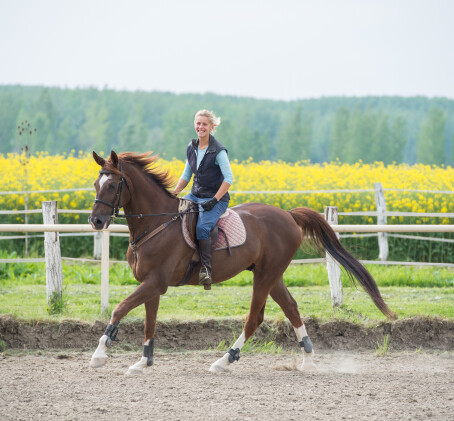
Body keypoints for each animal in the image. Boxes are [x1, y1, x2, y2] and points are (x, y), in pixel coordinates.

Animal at [88, 151, 394, 374]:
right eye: (95, 184)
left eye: (112, 185)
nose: (96, 221)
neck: (157, 222)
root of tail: (288, 214)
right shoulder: (151, 285)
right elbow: (149, 323)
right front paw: (143, 362)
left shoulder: (155, 282)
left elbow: (119, 309)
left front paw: (100, 353)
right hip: (272, 275)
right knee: (291, 309)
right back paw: (307, 360)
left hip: (266, 276)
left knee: (254, 318)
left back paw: (225, 359)